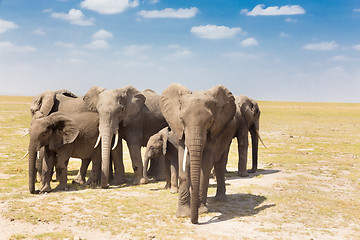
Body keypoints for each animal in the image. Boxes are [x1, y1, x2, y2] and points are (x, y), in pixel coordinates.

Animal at [160, 83, 236, 224]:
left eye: (210, 121)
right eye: (182, 120)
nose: (194, 221)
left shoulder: (215, 132)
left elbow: (205, 166)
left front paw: (201, 211)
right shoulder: (179, 131)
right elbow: (183, 163)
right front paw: (183, 214)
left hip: (227, 136)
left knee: (220, 164)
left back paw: (220, 199)